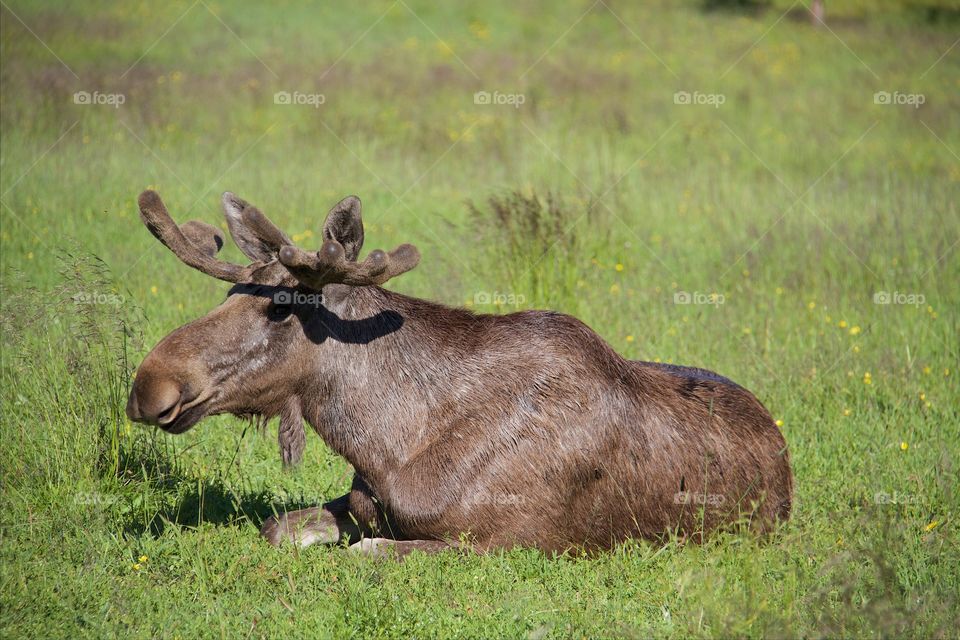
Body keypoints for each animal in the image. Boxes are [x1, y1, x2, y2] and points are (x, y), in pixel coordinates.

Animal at [126, 189, 793, 557]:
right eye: (231, 292)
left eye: (281, 307)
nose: (149, 385)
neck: (388, 444)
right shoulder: (360, 499)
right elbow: (277, 528)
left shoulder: (502, 543)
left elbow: (364, 555)